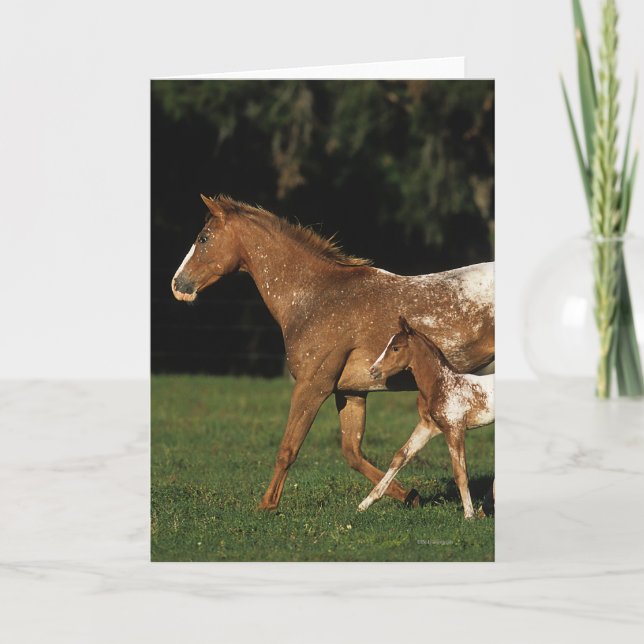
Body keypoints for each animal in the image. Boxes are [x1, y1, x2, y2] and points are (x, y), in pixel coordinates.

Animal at [358, 317, 494, 518]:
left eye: (396, 348)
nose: (373, 370)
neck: (441, 384)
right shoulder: (427, 426)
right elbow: (401, 456)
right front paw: (366, 502)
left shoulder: (454, 428)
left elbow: (460, 473)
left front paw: (469, 515)